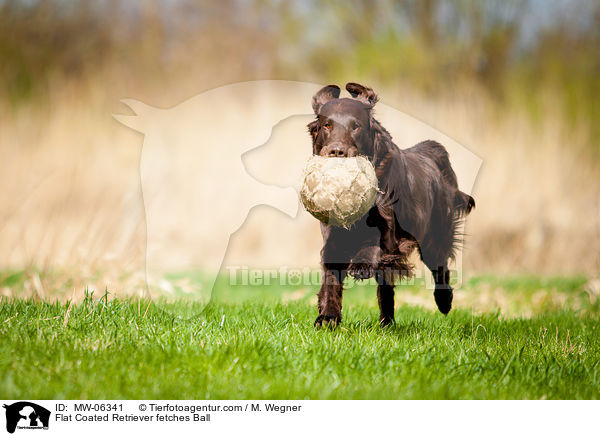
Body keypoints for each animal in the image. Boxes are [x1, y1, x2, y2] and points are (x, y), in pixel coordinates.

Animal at [310, 82, 474, 328]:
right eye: (326, 125)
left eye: (356, 126)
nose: (337, 151)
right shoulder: (333, 238)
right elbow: (331, 278)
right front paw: (328, 316)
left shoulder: (389, 232)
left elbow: (373, 245)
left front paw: (361, 265)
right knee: (386, 291)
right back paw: (387, 322)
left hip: (434, 237)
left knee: (440, 267)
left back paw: (444, 301)